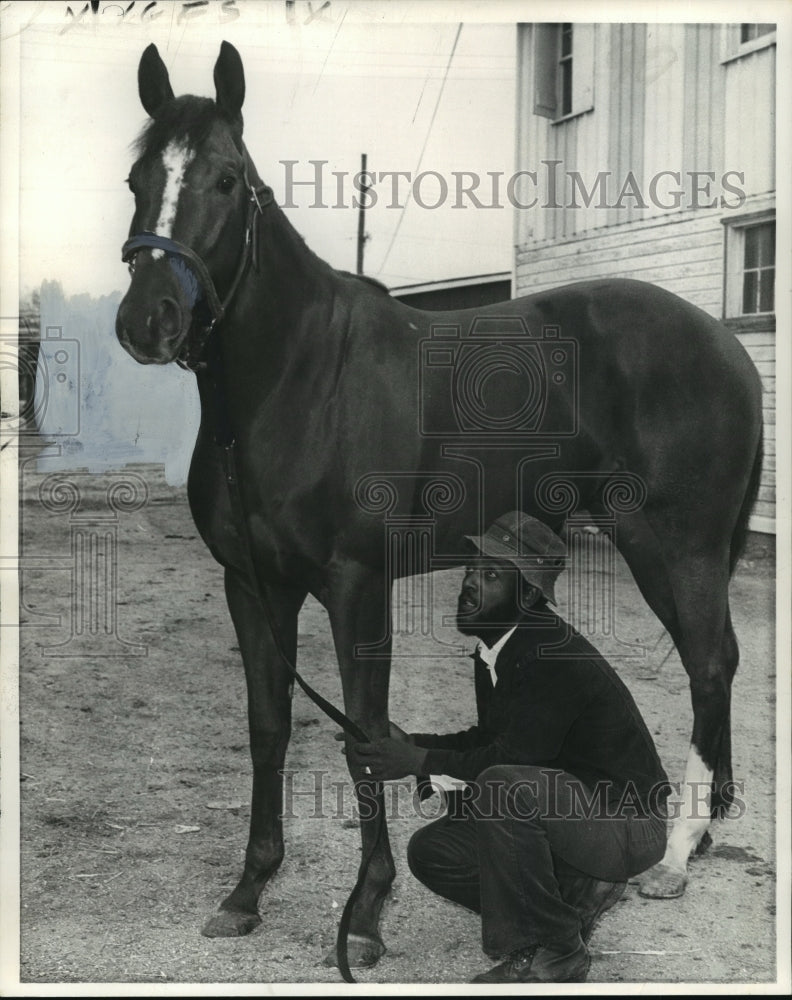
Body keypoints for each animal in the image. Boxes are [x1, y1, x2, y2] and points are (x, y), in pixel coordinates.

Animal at [114, 43, 764, 972]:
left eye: (228, 179)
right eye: (138, 177)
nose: (149, 321)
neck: (298, 380)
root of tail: (725, 344)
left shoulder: (355, 586)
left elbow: (365, 733)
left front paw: (366, 912)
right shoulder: (254, 586)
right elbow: (269, 726)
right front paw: (248, 891)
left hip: (675, 546)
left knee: (709, 665)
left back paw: (674, 857)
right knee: (720, 664)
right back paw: (702, 836)